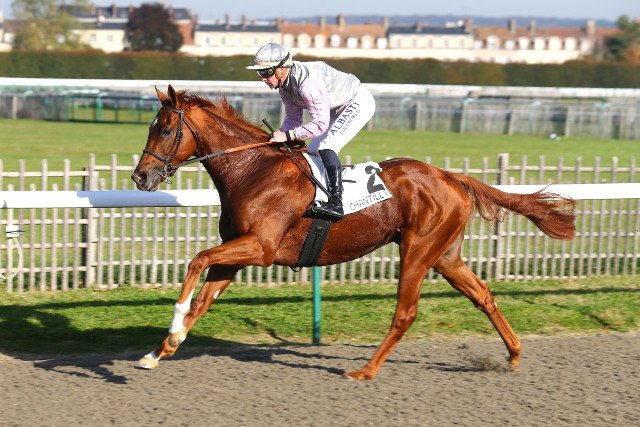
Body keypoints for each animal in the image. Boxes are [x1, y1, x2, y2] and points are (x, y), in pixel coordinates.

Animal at [131, 85, 576, 380]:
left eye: (166, 129)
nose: (140, 177)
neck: (253, 171)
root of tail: (451, 176)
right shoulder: (237, 251)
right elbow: (204, 299)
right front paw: (161, 349)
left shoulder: (260, 247)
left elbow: (197, 260)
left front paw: (172, 326)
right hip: (446, 255)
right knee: (483, 295)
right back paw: (514, 354)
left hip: (418, 251)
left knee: (405, 313)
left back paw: (365, 369)